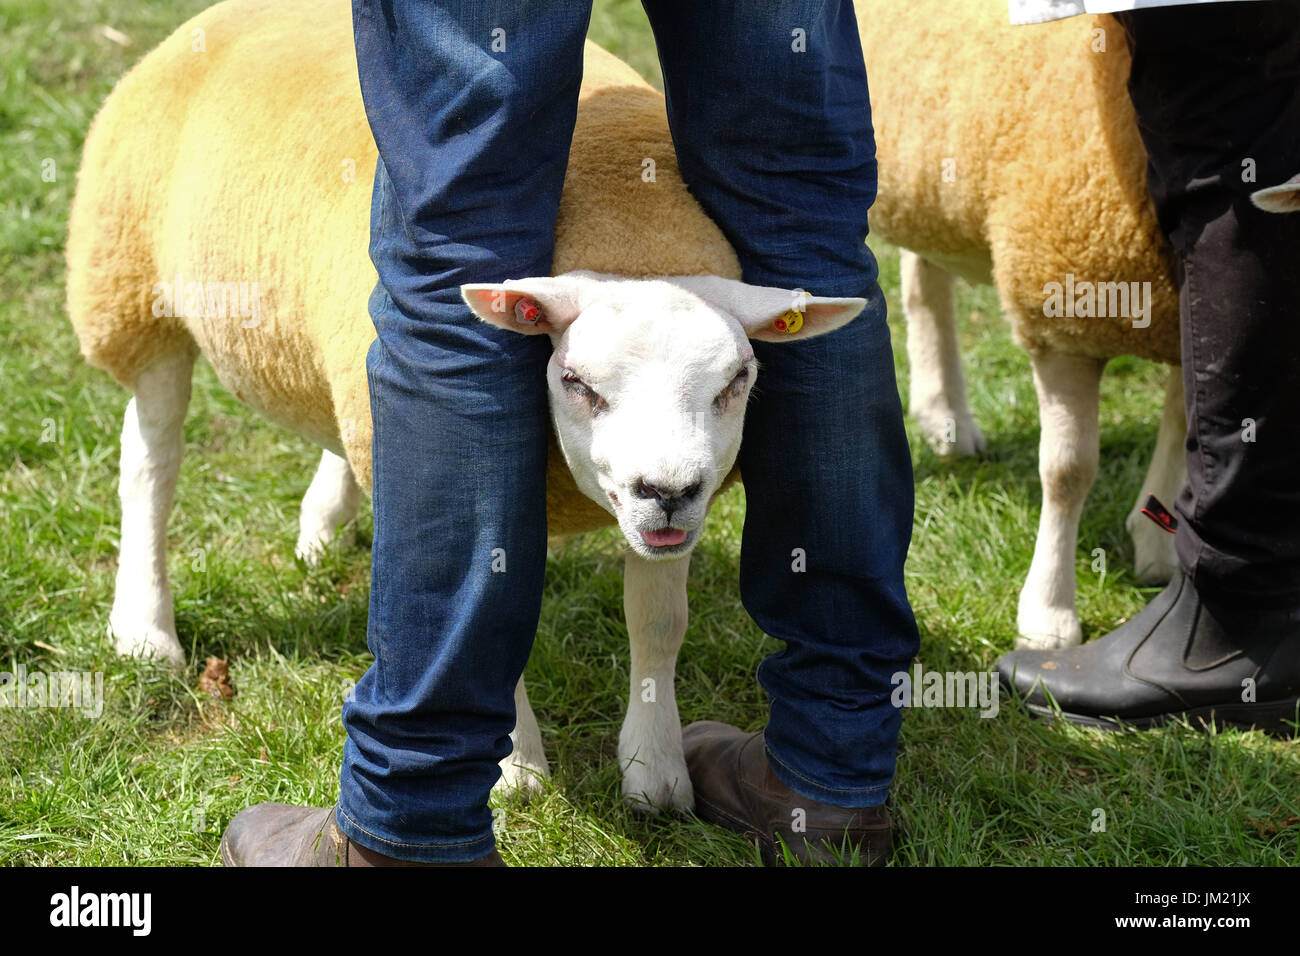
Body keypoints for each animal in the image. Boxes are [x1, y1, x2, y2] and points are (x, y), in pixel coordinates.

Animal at [65, 0, 868, 811]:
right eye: (576, 382)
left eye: (737, 381)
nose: (666, 490)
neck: (633, 240)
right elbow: (484, 612)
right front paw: (515, 770)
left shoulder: (675, 520)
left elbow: (659, 620)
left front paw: (656, 770)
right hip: (131, 292)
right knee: (151, 465)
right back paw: (145, 627)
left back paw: (325, 519)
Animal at [852, 0, 1190, 650]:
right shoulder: (1059, 312)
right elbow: (1067, 471)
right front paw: (1049, 612)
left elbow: (1185, 431)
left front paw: (1159, 550)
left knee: (924, 280)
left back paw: (946, 417)